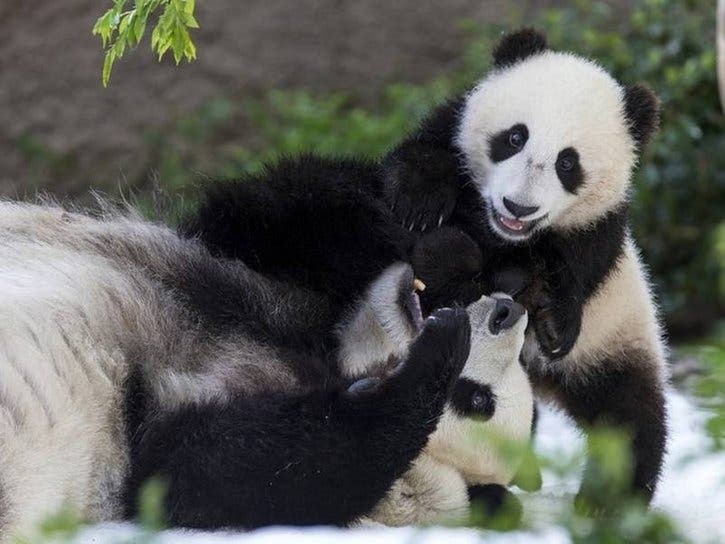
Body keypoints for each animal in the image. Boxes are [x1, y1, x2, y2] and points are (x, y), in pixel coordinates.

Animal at [382, 28, 669, 502]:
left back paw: (606, 503)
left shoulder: (599, 230)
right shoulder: (451, 132)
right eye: (515, 137)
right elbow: (427, 154)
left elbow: (576, 268)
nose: (518, 206)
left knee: (630, 417)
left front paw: (551, 317)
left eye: (568, 163)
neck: (502, 234)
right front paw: (420, 202)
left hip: (615, 339)